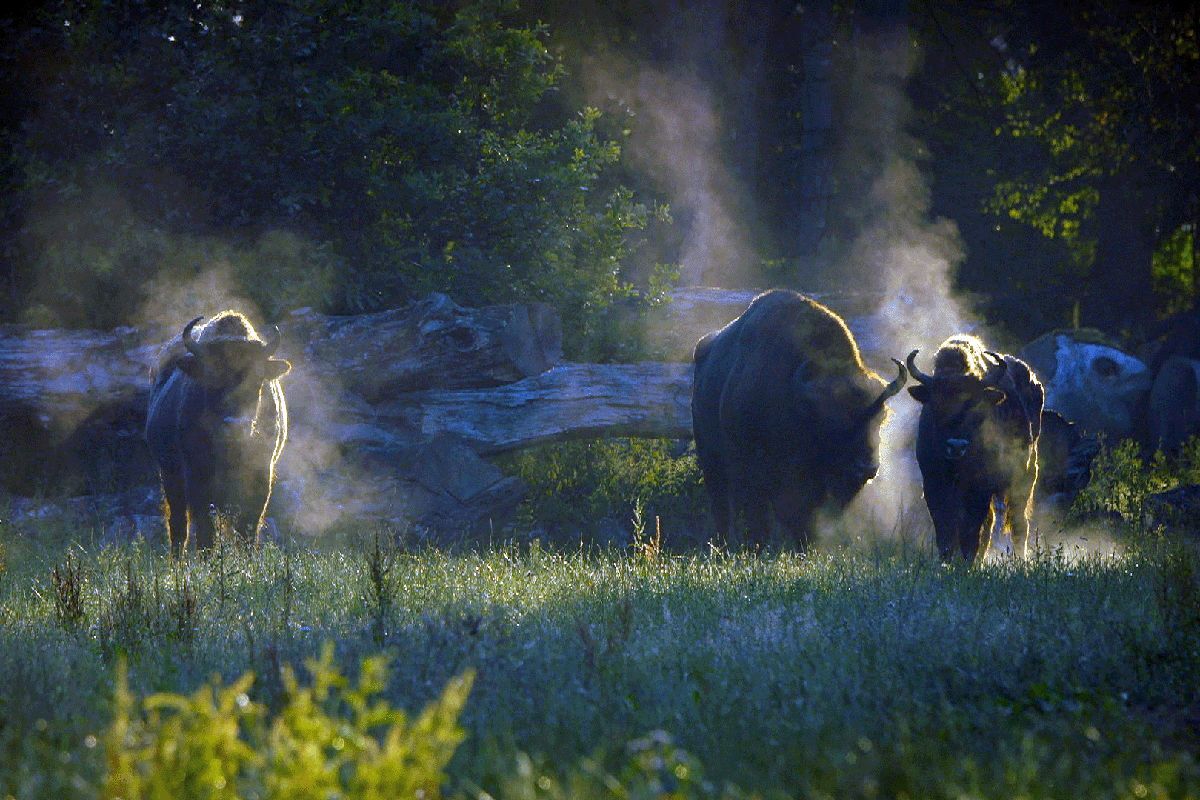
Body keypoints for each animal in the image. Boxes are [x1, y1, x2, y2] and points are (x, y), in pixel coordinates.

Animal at [146, 309, 291, 554]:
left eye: (257, 379)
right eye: (211, 376)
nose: (235, 425)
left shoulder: (261, 476)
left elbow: (247, 530)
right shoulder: (197, 478)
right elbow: (206, 532)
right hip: (170, 477)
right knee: (179, 527)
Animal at [691, 289, 902, 551]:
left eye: (881, 417)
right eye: (832, 421)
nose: (867, 467)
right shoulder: (755, 468)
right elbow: (762, 512)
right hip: (711, 459)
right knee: (722, 504)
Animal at [907, 335, 1041, 563]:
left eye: (977, 407)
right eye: (936, 405)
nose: (956, 446)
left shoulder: (979, 487)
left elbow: (971, 529)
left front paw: (966, 561)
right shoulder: (934, 483)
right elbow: (946, 528)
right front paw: (948, 560)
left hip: (1024, 478)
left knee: (1018, 523)